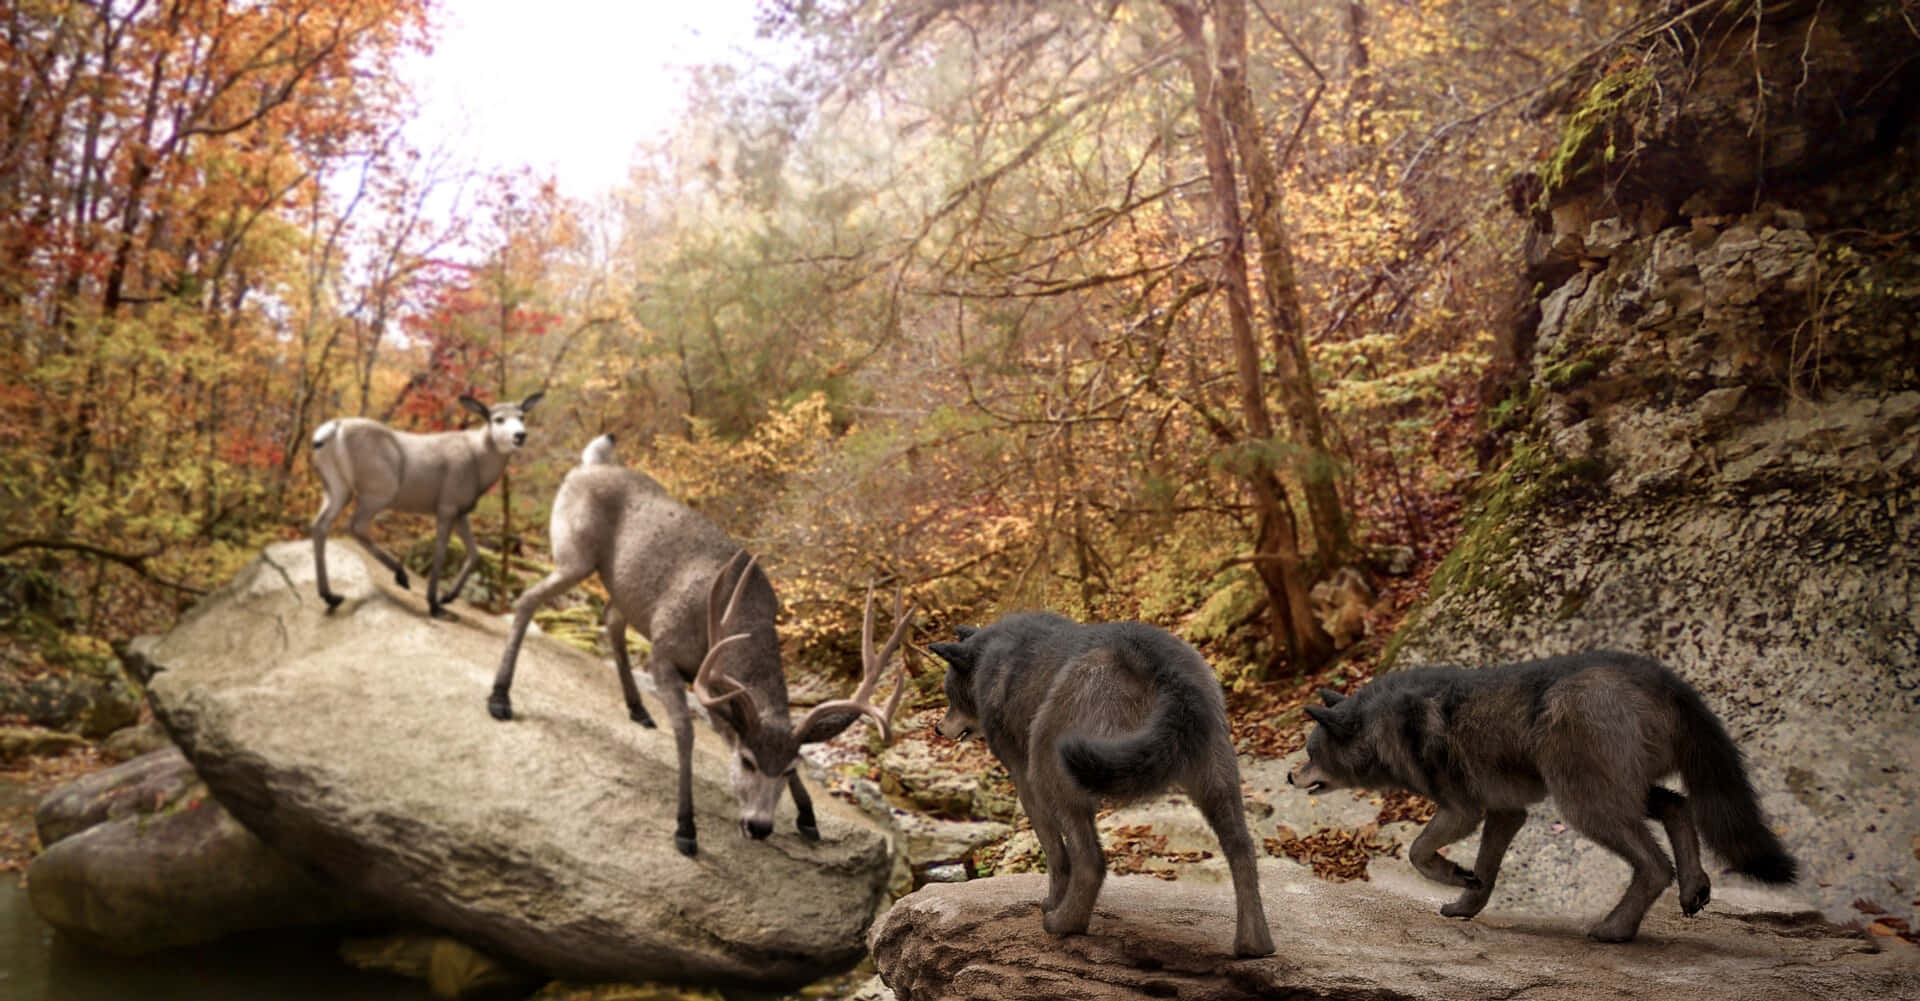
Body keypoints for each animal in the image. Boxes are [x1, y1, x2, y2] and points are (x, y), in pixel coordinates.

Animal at [929, 610, 1274, 956]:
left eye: (949, 695)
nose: (937, 728)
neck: (991, 650)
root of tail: (1157, 663)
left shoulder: (1024, 781)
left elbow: (1056, 856)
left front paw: (1052, 901)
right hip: (1216, 780)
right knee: (1242, 849)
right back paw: (1254, 944)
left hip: (1048, 768)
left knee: (1092, 861)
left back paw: (1063, 923)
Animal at [1290, 653, 1797, 941]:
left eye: (1309, 753)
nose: (1292, 776)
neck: (1384, 725)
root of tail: (1662, 677)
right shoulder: (1506, 813)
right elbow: (1486, 875)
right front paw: (1465, 903)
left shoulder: (1463, 811)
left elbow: (1417, 852)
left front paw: (1452, 875)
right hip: (1618, 793)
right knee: (1678, 805)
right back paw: (1694, 888)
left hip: (1584, 805)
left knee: (1655, 866)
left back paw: (1616, 930)